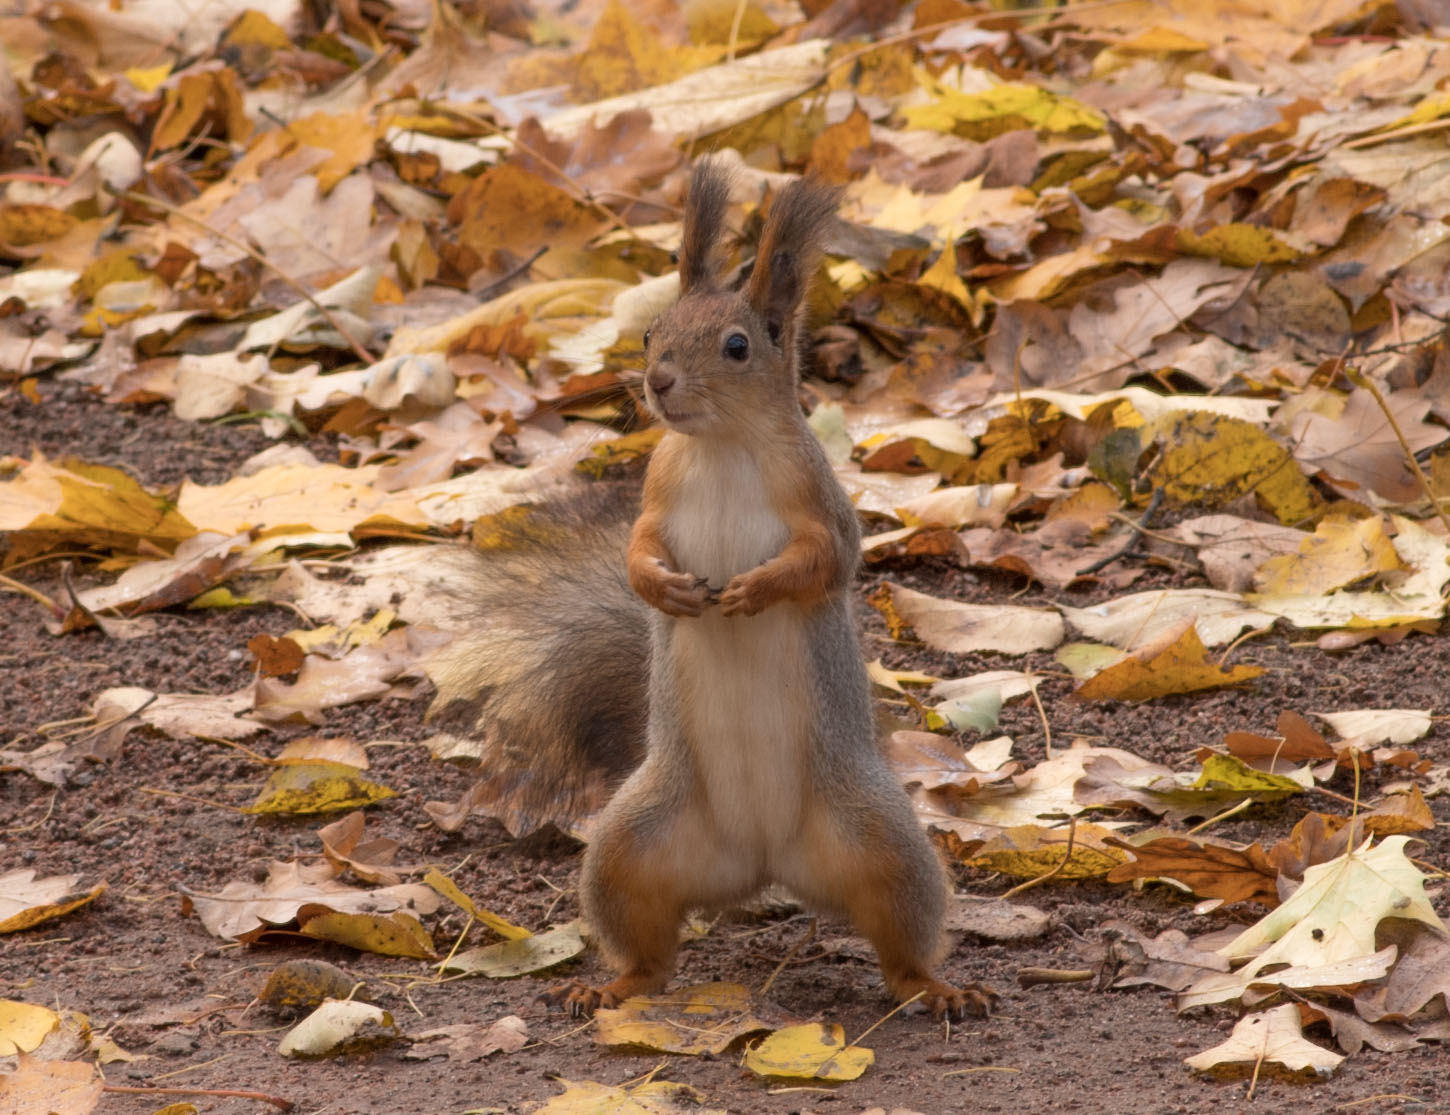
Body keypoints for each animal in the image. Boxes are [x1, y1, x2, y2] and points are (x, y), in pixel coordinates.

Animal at [481, 160, 991, 1020]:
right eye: (650, 331)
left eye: (737, 345)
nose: (657, 381)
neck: (720, 446)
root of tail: (762, 863)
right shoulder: (657, 491)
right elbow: (639, 548)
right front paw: (665, 589)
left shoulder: (819, 500)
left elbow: (825, 560)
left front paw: (755, 589)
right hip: (631, 846)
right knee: (651, 950)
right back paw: (611, 985)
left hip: (880, 840)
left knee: (901, 943)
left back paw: (939, 987)